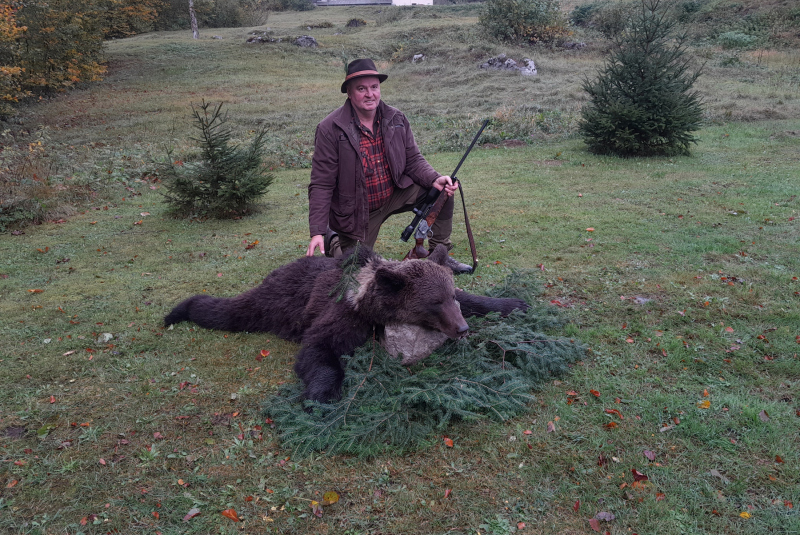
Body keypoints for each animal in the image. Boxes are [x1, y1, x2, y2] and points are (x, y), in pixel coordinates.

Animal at [165, 245, 528, 404]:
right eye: (433, 303)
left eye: (450, 296)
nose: (462, 329)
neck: (367, 299)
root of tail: (280, 269)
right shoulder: (345, 317)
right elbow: (319, 348)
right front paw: (322, 393)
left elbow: (478, 300)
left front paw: (514, 303)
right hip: (274, 302)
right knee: (228, 312)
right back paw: (179, 310)